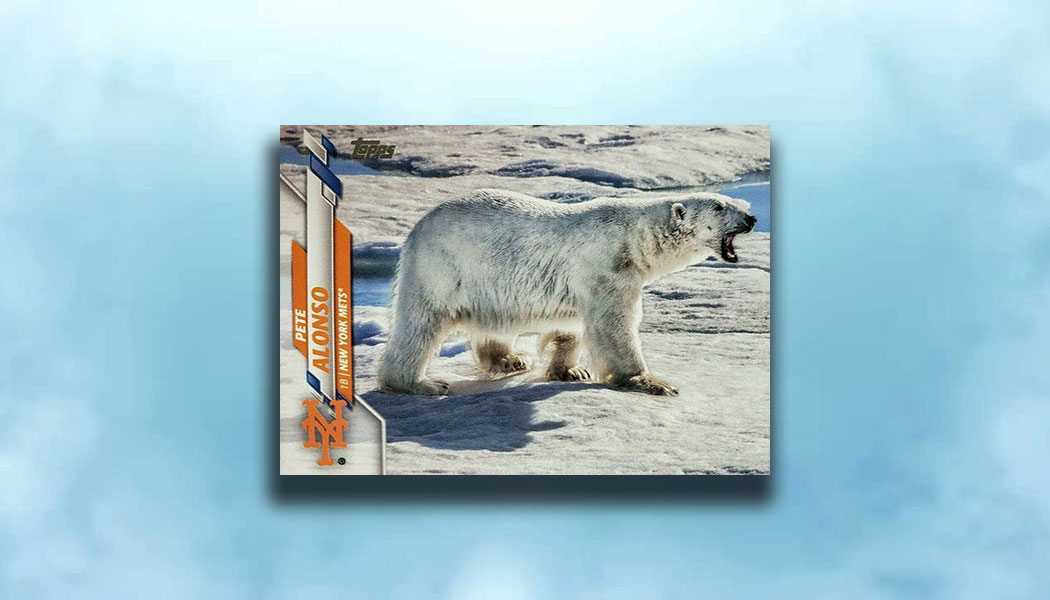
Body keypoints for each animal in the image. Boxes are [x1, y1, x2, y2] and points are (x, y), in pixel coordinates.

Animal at [377, 188, 757, 396]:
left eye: (734, 201)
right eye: (720, 207)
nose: (752, 218)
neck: (635, 239)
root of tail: (418, 227)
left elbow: (572, 324)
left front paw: (570, 371)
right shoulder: (607, 268)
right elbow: (614, 326)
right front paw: (649, 381)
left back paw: (510, 358)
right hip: (442, 267)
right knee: (420, 324)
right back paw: (419, 383)